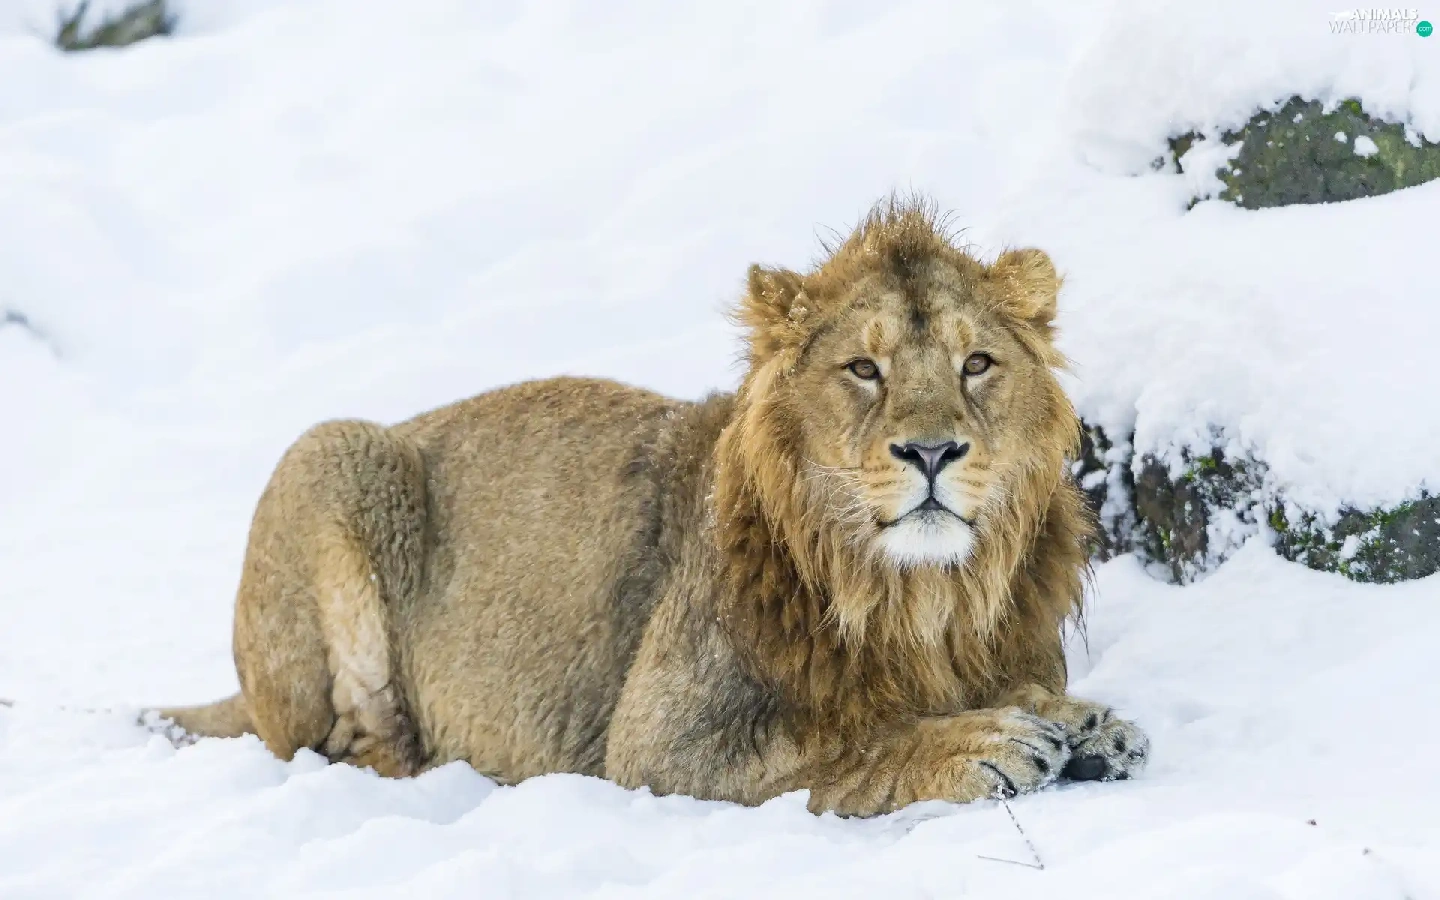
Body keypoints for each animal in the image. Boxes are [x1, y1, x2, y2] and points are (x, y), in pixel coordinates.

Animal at [156, 197, 1148, 815]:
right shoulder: (658, 747)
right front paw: (981, 743)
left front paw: (1083, 723)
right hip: (332, 450)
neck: (921, 596)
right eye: (863, 369)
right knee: (343, 744)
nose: (933, 451)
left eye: (976, 363)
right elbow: (846, 745)